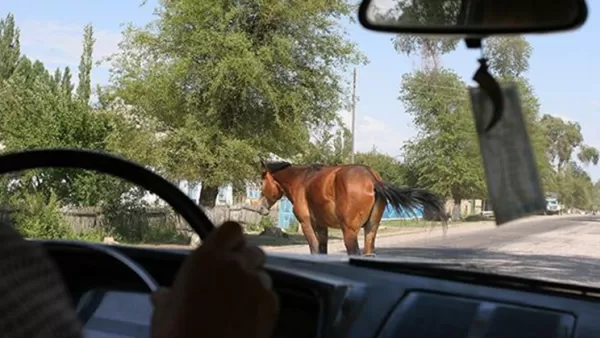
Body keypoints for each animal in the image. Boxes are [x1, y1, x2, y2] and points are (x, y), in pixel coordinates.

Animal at [255, 161, 448, 256]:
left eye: (262, 180)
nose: (261, 208)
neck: (302, 180)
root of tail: (372, 179)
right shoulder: (322, 227)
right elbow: (322, 251)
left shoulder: (307, 225)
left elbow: (314, 250)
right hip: (371, 229)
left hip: (349, 231)